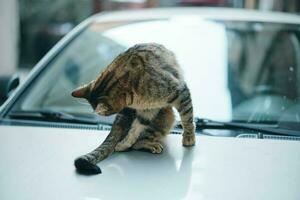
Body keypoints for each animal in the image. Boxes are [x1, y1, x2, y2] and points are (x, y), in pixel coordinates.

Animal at [72, 42, 196, 173]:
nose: (124, 110)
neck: (135, 99)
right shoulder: (147, 110)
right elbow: (134, 130)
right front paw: (124, 144)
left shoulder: (180, 92)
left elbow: (187, 118)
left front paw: (189, 137)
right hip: (167, 117)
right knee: (137, 143)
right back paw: (149, 144)